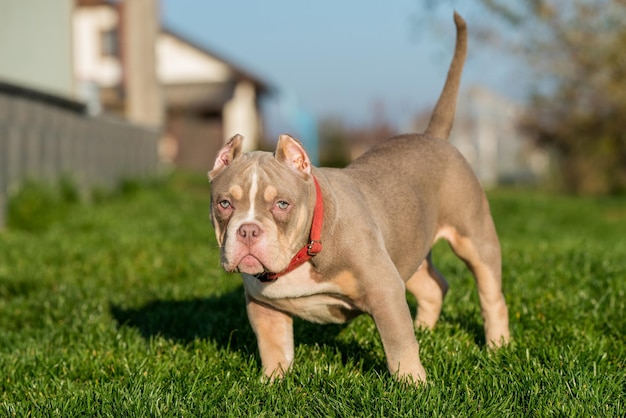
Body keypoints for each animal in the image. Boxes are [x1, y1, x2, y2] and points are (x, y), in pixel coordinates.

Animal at [207, 12, 510, 386]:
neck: (303, 249)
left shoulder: (384, 287)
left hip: (474, 237)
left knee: (490, 294)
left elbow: (398, 342)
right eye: (224, 204)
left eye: (281, 205)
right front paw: (272, 381)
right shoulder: (262, 305)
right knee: (432, 286)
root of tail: (433, 136)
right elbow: (273, 346)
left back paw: (497, 346)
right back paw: (427, 331)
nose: (248, 230)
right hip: (406, 247)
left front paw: (413, 384)